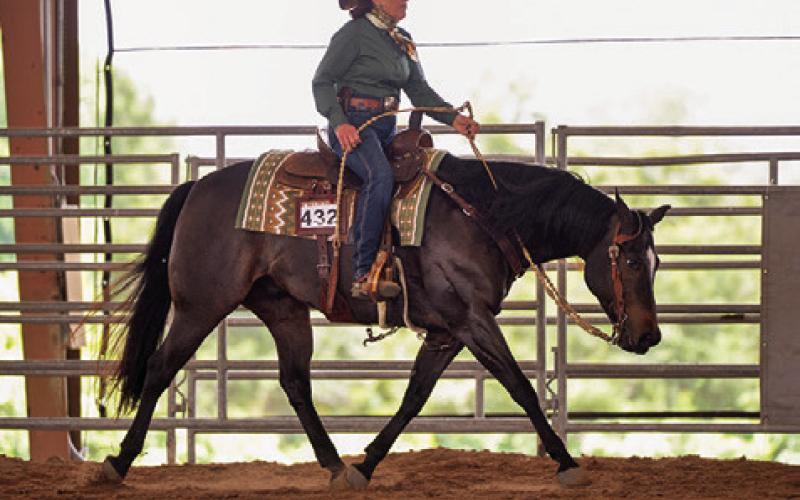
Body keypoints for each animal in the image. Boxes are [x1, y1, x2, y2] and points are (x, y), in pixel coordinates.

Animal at [99, 152, 670, 489]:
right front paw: (567, 463)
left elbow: (415, 396)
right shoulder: (472, 319)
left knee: (296, 382)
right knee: (160, 368)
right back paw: (118, 463)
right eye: (631, 260)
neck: (482, 213)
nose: (649, 335)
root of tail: (195, 188)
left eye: (657, 261)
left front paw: (368, 462)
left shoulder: (446, 331)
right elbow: (520, 386)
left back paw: (335, 466)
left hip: (284, 309)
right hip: (201, 304)